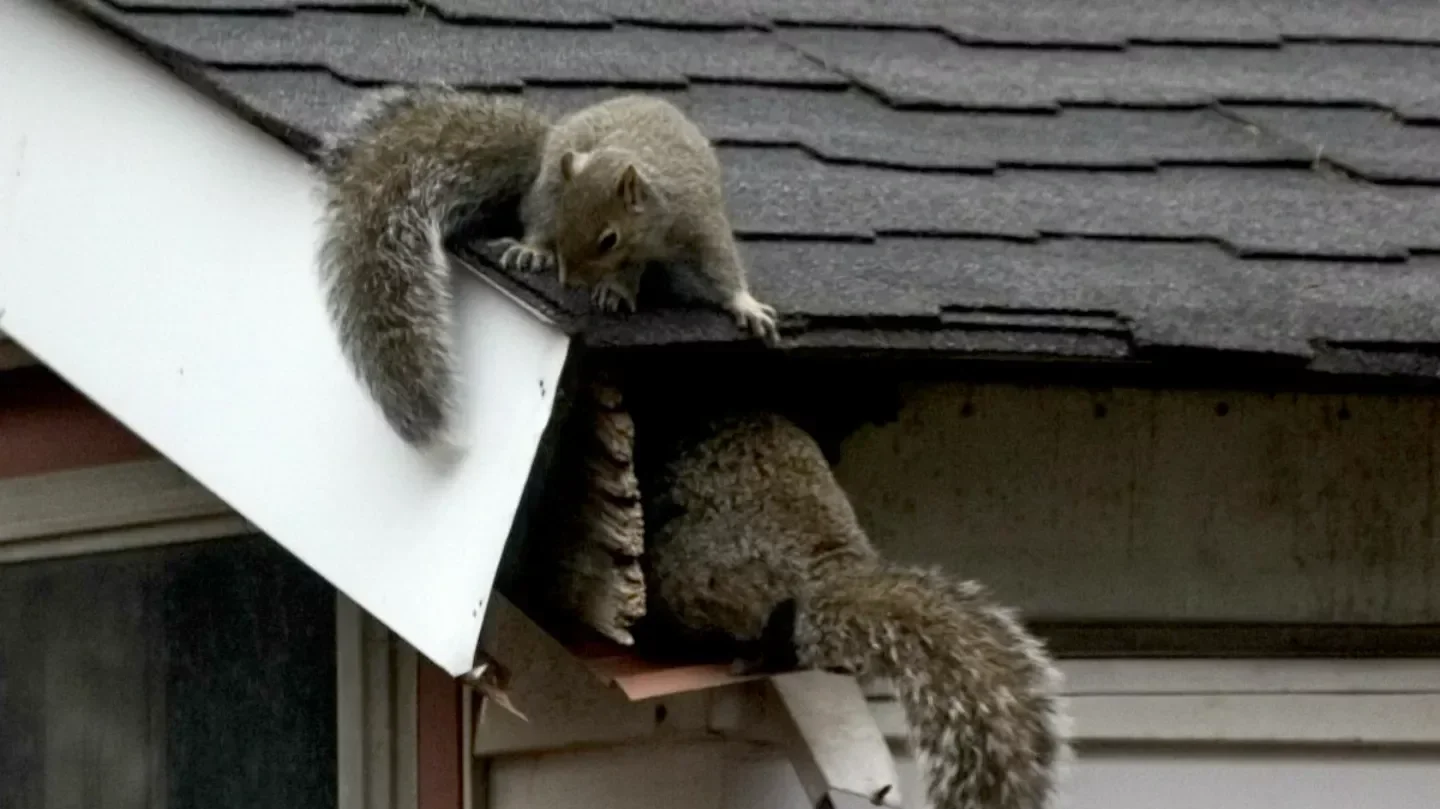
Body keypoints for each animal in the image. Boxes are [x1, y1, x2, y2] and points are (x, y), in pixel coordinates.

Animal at [317, 85, 778, 450]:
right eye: (563, 222)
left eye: (608, 238)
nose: (568, 280)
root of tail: (548, 143)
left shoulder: (696, 218)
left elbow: (721, 262)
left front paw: (746, 305)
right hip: (546, 185)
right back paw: (533, 252)